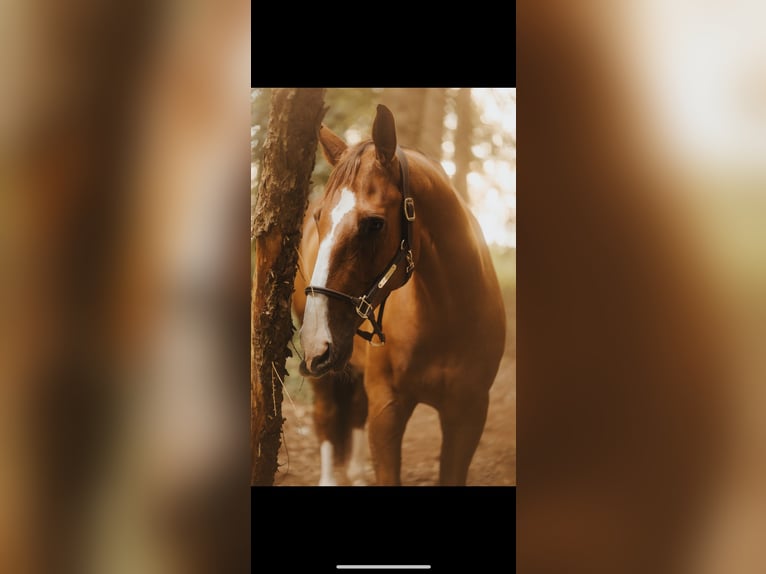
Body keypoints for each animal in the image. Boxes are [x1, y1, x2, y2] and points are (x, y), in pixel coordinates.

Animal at [292, 104, 506, 486]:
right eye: (318, 217)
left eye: (374, 223)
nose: (317, 339)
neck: (446, 317)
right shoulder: (388, 410)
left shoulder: (468, 415)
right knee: (327, 415)